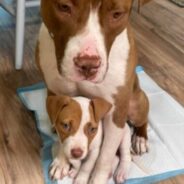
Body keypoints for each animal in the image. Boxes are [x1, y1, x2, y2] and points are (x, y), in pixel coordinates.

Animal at [36, 0, 151, 183]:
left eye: (117, 14)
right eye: (64, 7)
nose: (88, 65)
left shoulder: (116, 112)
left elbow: (105, 155)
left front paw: (97, 178)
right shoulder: (57, 93)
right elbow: (62, 135)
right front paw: (61, 162)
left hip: (136, 104)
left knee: (143, 119)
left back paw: (140, 139)